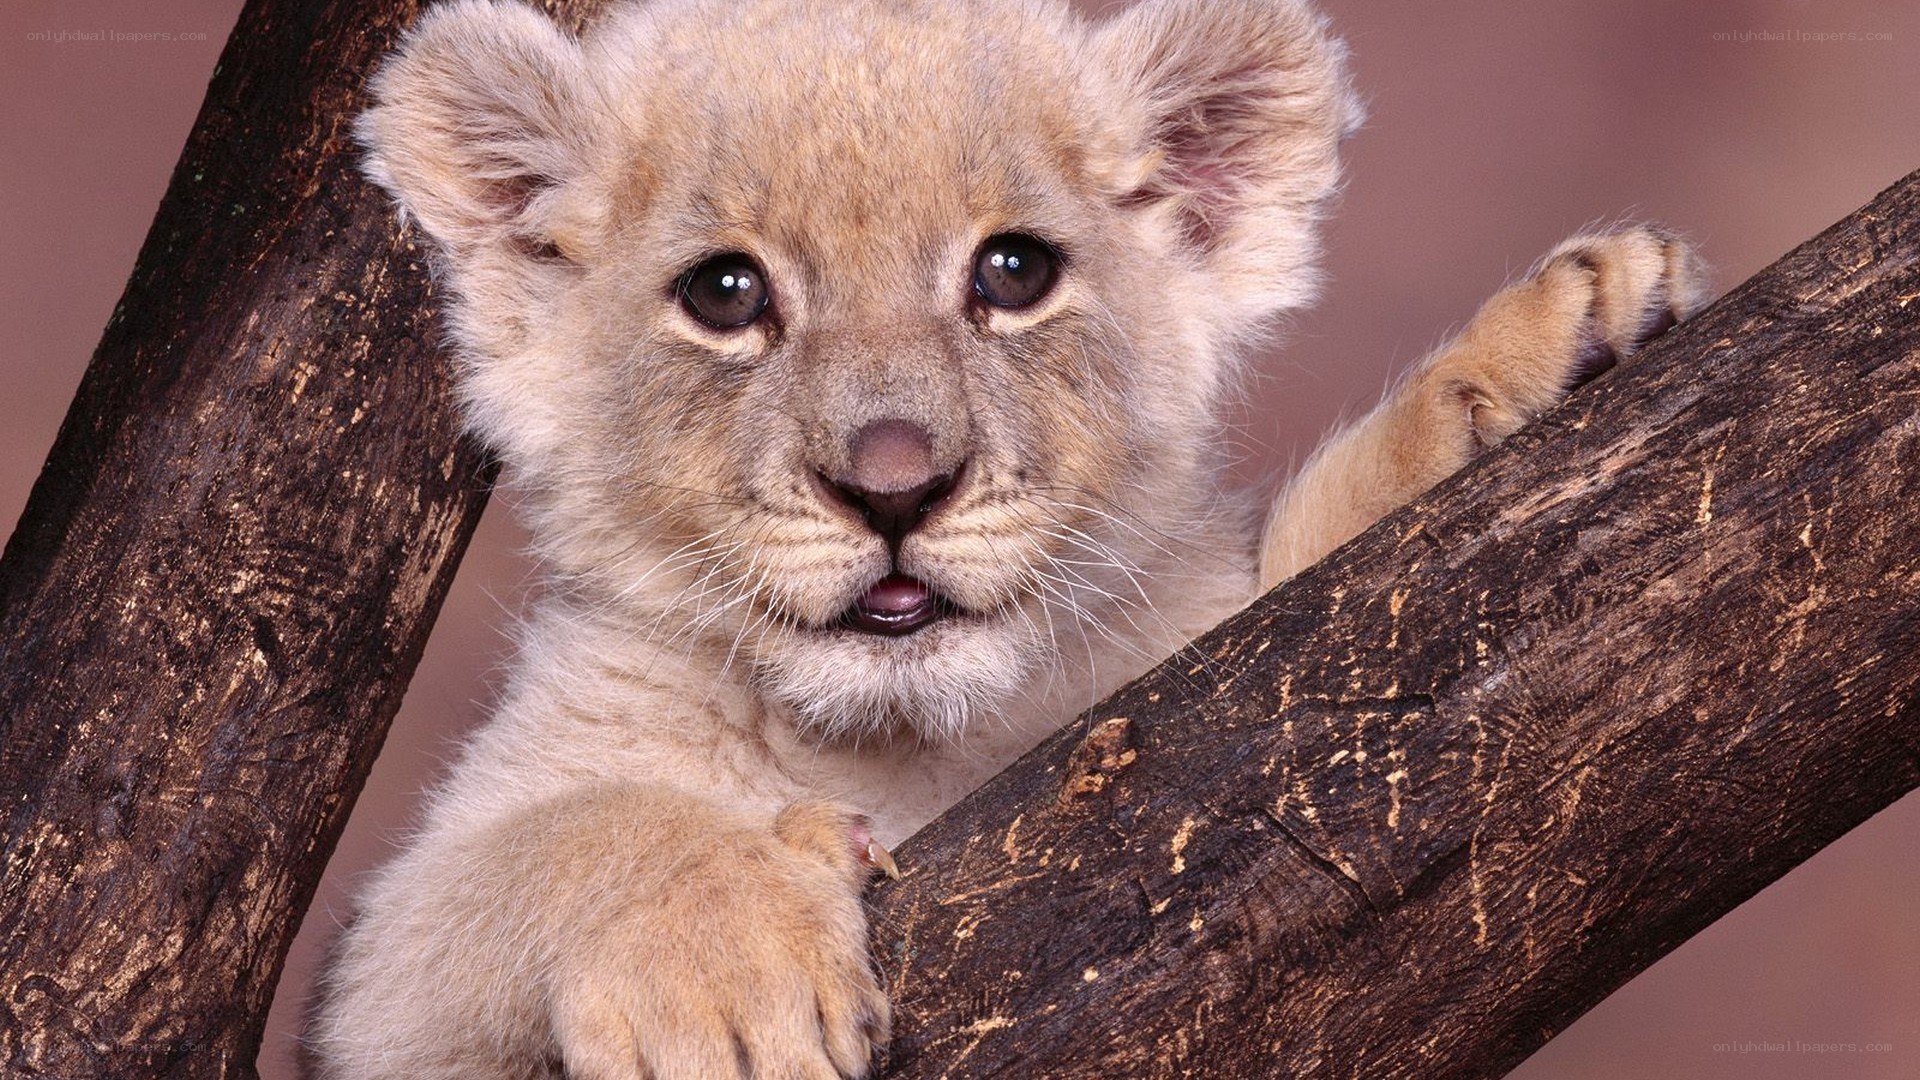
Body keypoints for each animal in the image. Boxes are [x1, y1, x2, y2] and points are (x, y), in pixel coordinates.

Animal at [308, 0, 1706, 1075]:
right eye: (726, 293)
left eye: (1014, 273)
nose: (893, 486)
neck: (909, 744)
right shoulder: (384, 988)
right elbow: (569, 840)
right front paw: (727, 985)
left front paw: (1535, 361)